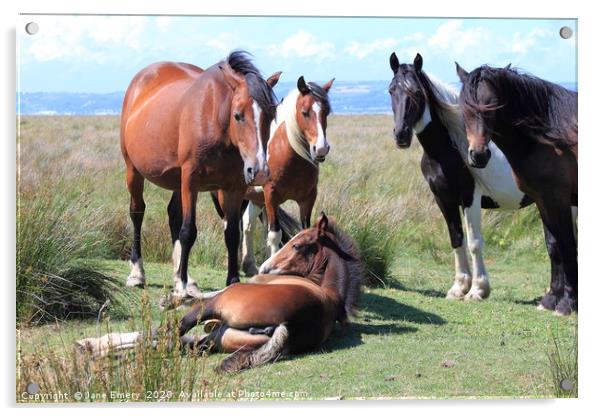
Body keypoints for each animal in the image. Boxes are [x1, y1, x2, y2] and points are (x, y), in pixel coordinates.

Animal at [77, 214, 364, 374]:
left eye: (297, 245)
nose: (265, 268)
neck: (327, 292)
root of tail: (291, 324)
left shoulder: (228, 293)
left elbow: (197, 297)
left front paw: (171, 299)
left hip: (215, 311)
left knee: (165, 333)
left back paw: (94, 346)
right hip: (219, 337)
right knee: (172, 341)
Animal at [121, 51, 282, 300]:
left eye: (271, 115)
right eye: (238, 115)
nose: (259, 171)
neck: (215, 120)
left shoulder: (233, 187)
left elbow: (231, 233)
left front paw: (231, 281)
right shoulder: (191, 181)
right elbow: (188, 231)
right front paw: (181, 286)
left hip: (176, 181)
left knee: (173, 216)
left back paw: (183, 278)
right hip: (134, 171)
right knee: (137, 212)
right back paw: (138, 273)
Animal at [232, 76, 332, 274]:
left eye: (327, 112)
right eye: (305, 112)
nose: (321, 149)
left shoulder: (308, 198)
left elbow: (303, 232)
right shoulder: (271, 195)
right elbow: (274, 235)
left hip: (255, 198)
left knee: (247, 224)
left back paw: (249, 265)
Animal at [386, 52, 532, 300]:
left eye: (417, 92)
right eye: (390, 90)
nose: (401, 135)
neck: (448, 150)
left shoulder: (470, 197)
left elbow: (474, 242)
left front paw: (478, 290)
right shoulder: (443, 198)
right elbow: (456, 239)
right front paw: (459, 287)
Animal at [454, 61, 576, 316]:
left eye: (493, 105)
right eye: (465, 109)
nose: (479, 156)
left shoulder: (558, 199)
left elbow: (567, 245)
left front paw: (566, 303)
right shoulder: (543, 200)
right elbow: (554, 246)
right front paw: (551, 299)